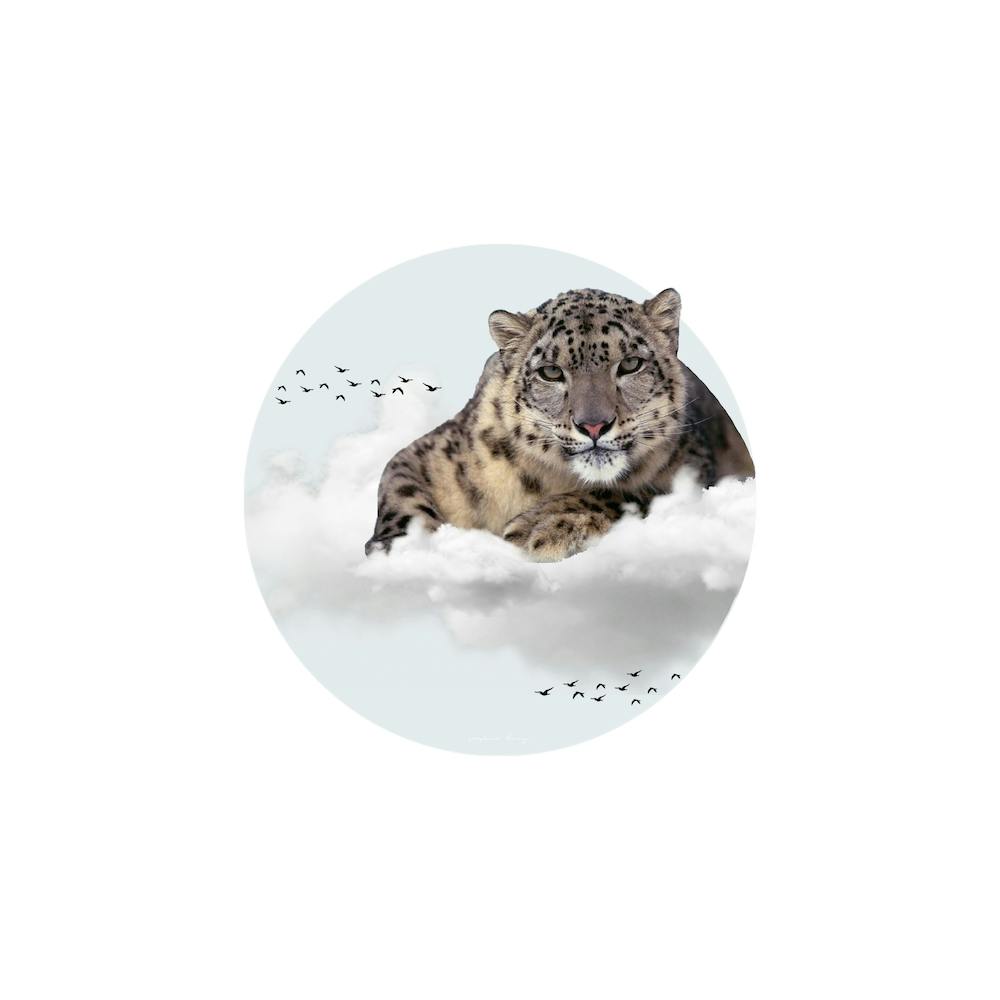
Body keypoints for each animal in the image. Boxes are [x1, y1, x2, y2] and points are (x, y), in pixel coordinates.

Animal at [365, 287, 754, 562]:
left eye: (630, 364)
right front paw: (400, 549)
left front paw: (541, 526)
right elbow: (400, 490)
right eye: (551, 372)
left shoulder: (693, 467)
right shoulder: (431, 454)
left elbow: (631, 491)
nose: (594, 425)